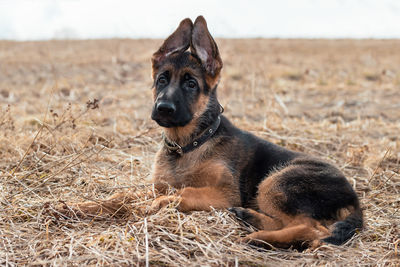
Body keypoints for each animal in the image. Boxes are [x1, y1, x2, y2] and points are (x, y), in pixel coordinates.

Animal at [56, 16, 362, 251]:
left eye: (191, 84)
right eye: (162, 79)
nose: (163, 108)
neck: (188, 144)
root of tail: (354, 197)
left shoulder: (223, 194)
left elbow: (181, 193)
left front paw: (152, 207)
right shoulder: (158, 185)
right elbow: (120, 197)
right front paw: (77, 206)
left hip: (278, 180)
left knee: (312, 228)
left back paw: (259, 238)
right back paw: (250, 219)